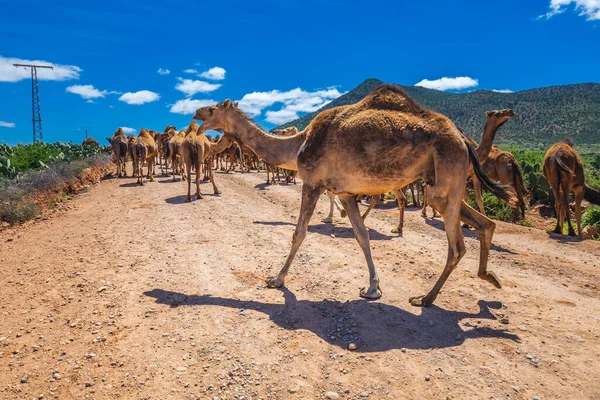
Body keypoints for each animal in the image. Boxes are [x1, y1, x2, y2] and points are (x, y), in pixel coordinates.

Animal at [192, 86, 516, 308]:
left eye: (213, 109)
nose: (195, 114)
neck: (298, 144)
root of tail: (463, 139)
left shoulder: (312, 182)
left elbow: (299, 233)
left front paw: (277, 279)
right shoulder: (346, 193)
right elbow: (362, 236)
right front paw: (372, 288)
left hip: (445, 175)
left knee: (457, 246)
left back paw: (425, 298)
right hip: (449, 184)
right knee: (485, 224)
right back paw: (489, 277)